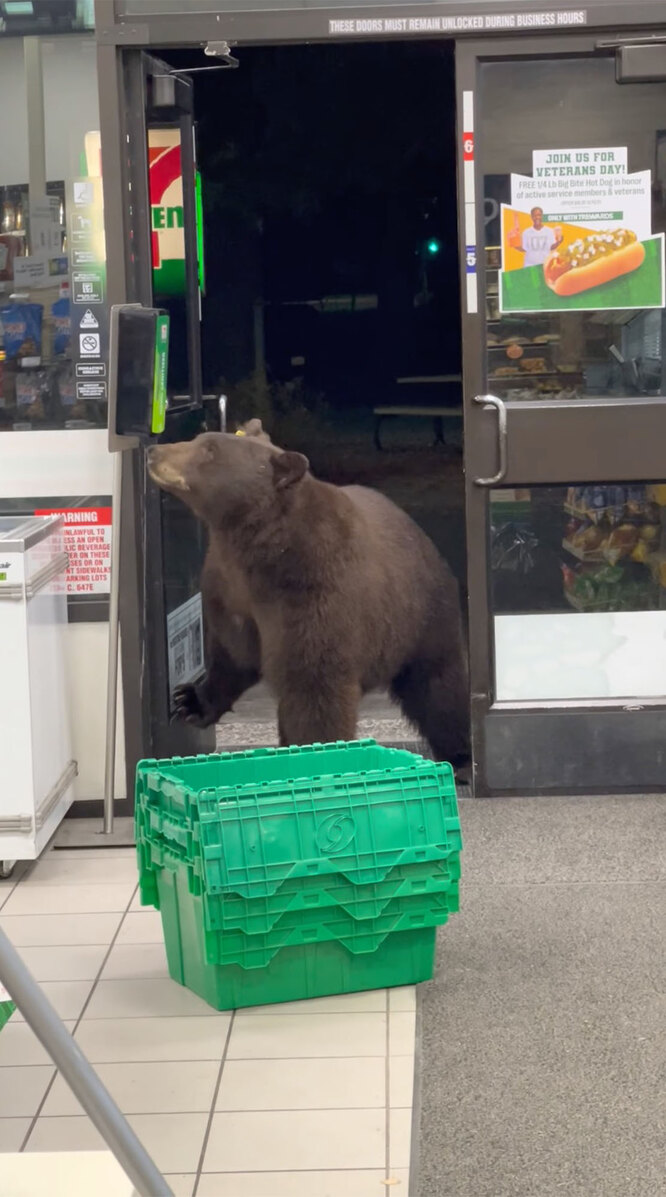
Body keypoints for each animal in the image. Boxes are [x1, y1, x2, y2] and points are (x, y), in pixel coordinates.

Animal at [146, 416, 467, 761]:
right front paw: (189, 700)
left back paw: (460, 753)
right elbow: (233, 653)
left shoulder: (313, 591)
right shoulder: (229, 588)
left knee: (438, 689)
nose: (154, 451)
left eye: (210, 449)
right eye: (200, 439)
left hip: (421, 617)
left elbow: (314, 688)